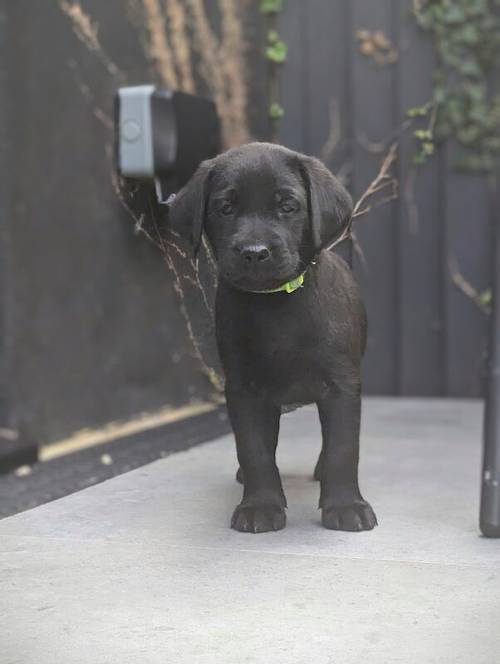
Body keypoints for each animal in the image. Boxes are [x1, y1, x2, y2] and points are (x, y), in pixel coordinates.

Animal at [168, 141, 376, 536]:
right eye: (225, 208)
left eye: (287, 206)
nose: (254, 253)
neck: (275, 301)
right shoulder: (243, 389)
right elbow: (255, 450)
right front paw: (260, 505)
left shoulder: (342, 384)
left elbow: (344, 446)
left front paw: (345, 506)